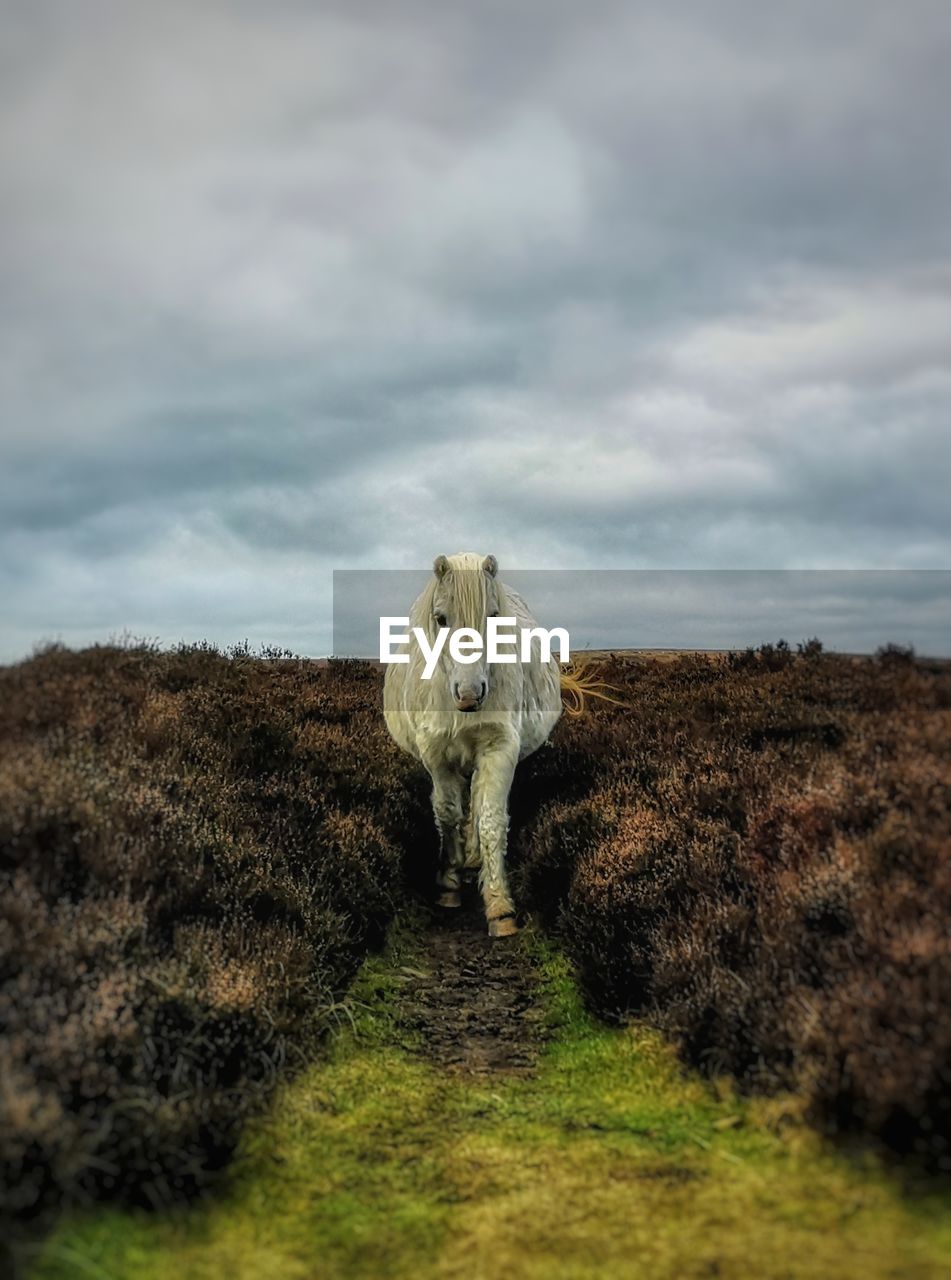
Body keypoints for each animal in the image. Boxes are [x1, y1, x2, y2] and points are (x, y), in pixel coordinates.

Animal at [383, 552, 583, 942]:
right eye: (441, 619)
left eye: (493, 616)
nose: (470, 693)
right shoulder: (437, 756)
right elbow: (447, 814)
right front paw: (448, 883)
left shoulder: (499, 749)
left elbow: (491, 819)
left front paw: (499, 904)